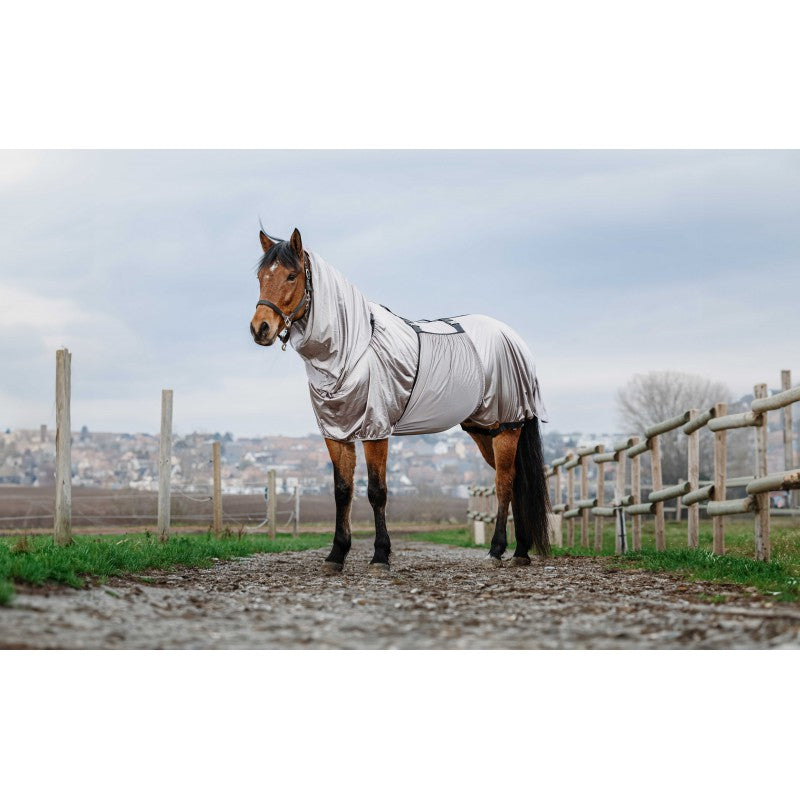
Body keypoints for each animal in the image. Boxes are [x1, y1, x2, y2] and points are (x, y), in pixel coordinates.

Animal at [250, 227, 551, 573]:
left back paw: (498, 549)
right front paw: (337, 554)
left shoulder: (375, 428)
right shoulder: (337, 431)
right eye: (260, 276)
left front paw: (380, 554)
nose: (260, 328)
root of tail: (512, 337)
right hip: (484, 429)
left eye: (291, 275)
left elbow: (376, 491)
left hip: (507, 426)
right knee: (515, 482)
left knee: (504, 482)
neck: (353, 348)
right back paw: (521, 550)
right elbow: (343, 491)